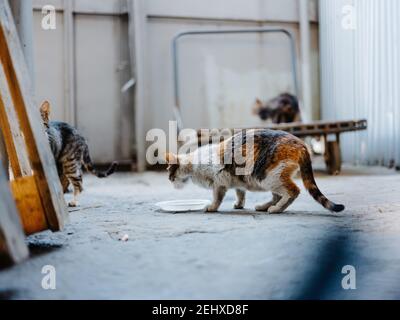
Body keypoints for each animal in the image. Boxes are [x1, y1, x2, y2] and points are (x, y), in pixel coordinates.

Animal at [166, 129, 344, 214]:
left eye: (170, 173)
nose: (169, 180)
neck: (194, 165)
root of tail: (301, 143)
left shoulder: (219, 182)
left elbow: (217, 197)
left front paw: (212, 207)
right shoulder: (235, 180)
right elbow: (240, 192)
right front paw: (239, 204)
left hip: (269, 176)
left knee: (293, 191)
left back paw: (276, 209)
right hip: (271, 179)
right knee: (277, 195)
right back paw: (264, 206)